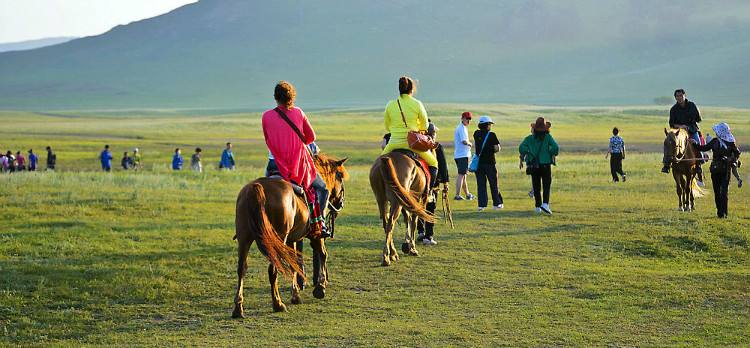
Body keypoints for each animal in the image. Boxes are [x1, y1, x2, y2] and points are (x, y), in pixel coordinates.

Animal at [232, 154, 350, 316]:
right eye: (340, 176)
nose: (340, 204)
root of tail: (256, 187)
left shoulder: (292, 240)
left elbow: (295, 263)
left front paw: (296, 295)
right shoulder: (316, 236)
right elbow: (322, 254)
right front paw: (320, 287)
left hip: (244, 238)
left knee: (241, 269)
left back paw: (238, 308)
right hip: (276, 240)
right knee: (273, 269)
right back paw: (278, 304)